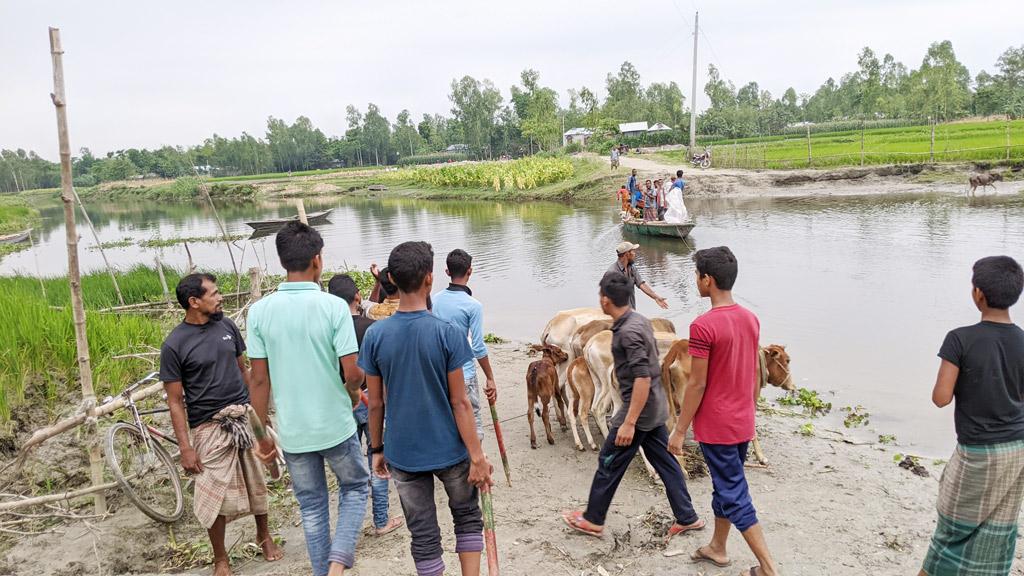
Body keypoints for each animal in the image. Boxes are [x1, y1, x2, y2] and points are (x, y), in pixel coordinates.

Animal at [659, 338, 794, 463]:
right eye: (787, 360)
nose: (792, 386)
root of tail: (677, 348)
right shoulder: (752, 398)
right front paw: (760, 456)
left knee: (669, 426)